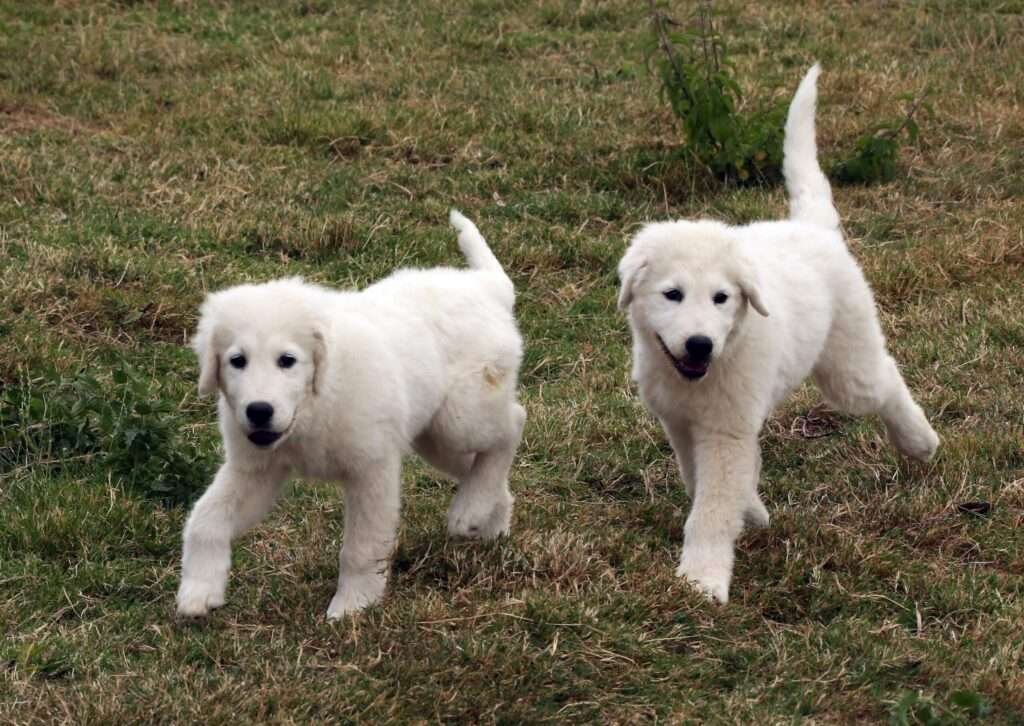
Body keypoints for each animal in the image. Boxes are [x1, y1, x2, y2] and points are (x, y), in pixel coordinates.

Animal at [176, 207, 524, 618]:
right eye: (237, 361)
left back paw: (468, 510)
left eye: (287, 360)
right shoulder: (255, 470)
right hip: (433, 437)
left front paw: (352, 606)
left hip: (460, 417)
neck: (314, 405)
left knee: (512, 425)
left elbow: (361, 547)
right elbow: (205, 519)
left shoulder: (372, 470)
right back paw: (488, 522)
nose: (259, 411)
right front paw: (199, 590)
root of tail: (487, 287)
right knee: (481, 465)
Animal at [614, 65, 937, 602]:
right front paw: (750, 511)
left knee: (885, 378)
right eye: (672, 295)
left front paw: (702, 580)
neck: (705, 369)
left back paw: (919, 439)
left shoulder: (725, 429)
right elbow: (701, 482)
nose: (700, 343)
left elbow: (711, 508)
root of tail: (814, 229)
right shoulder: (682, 424)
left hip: (847, 367)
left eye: (722, 298)